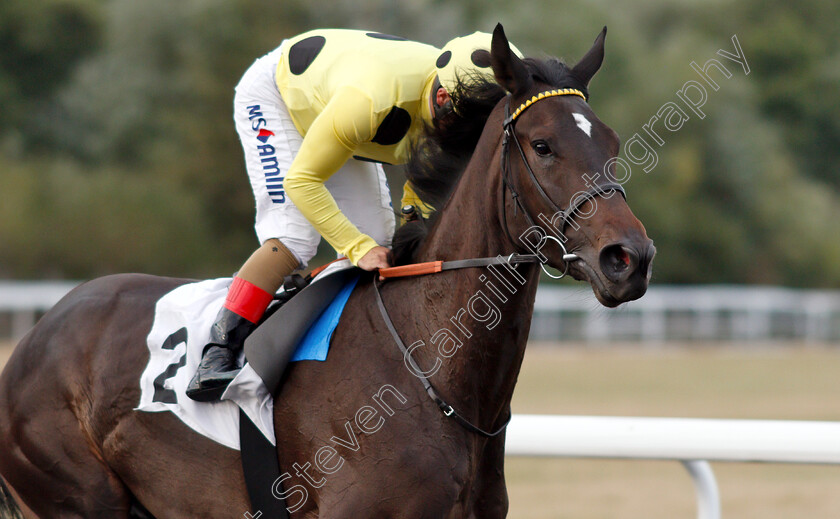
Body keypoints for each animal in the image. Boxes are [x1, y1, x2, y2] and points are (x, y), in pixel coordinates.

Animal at [0, 25, 652, 519]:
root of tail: (41, 330)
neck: (425, 368)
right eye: (543, 145)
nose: (630, 258)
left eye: (613, 142)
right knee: (287, 230)